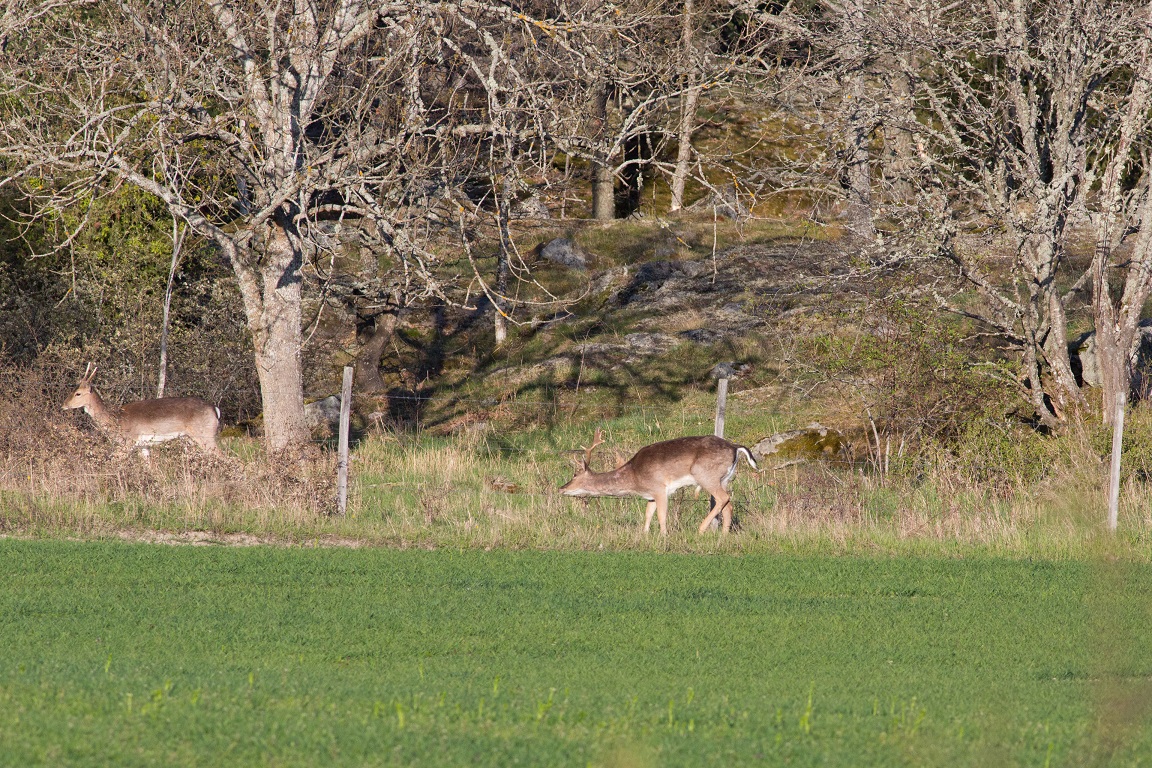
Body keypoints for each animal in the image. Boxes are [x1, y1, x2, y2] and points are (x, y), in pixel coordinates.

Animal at [63, 361, 222, 455]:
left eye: (78, 393)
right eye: (72, 389)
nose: (63, 405)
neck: (116, 420)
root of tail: (215, 410)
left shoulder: (127, 443)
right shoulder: (143, 446)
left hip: (206, 435)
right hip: (190, 438)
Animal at [557, 430, 755, 538]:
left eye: (574, 474)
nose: (561, 488)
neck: (635, 477)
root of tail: (735, 447)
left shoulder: (660, 488)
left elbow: (661, 515)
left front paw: (663, 536)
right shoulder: (650, 495)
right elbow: (648, 514)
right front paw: (644, 534)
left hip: (706, 475)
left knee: (723, 498)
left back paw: (700, 529)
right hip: (724, 478)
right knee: (728, 504)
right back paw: (724, 535)